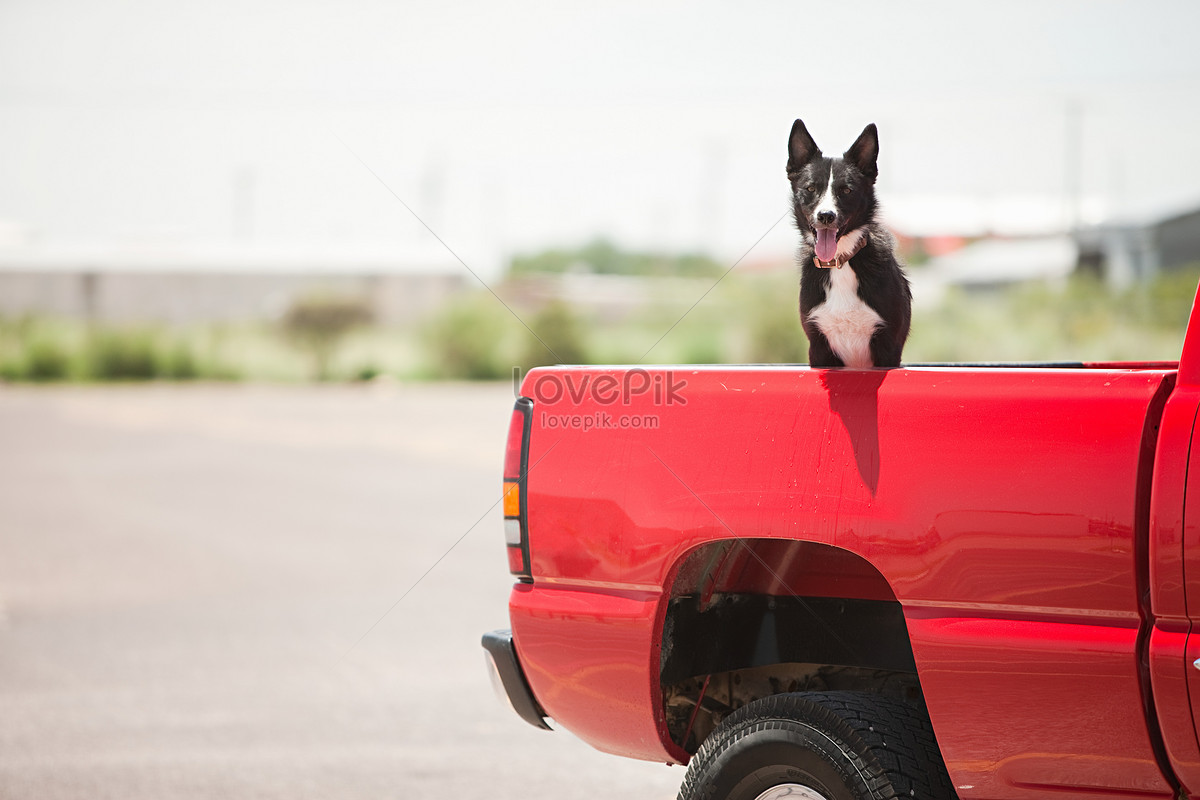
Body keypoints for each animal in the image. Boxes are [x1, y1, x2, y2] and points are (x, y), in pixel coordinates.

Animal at [787, 118, 907, 369]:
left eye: (846, 190)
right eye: (810, 188)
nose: (825, 216)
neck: (840, 262)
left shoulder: (888, 346)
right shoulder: (819, 347)